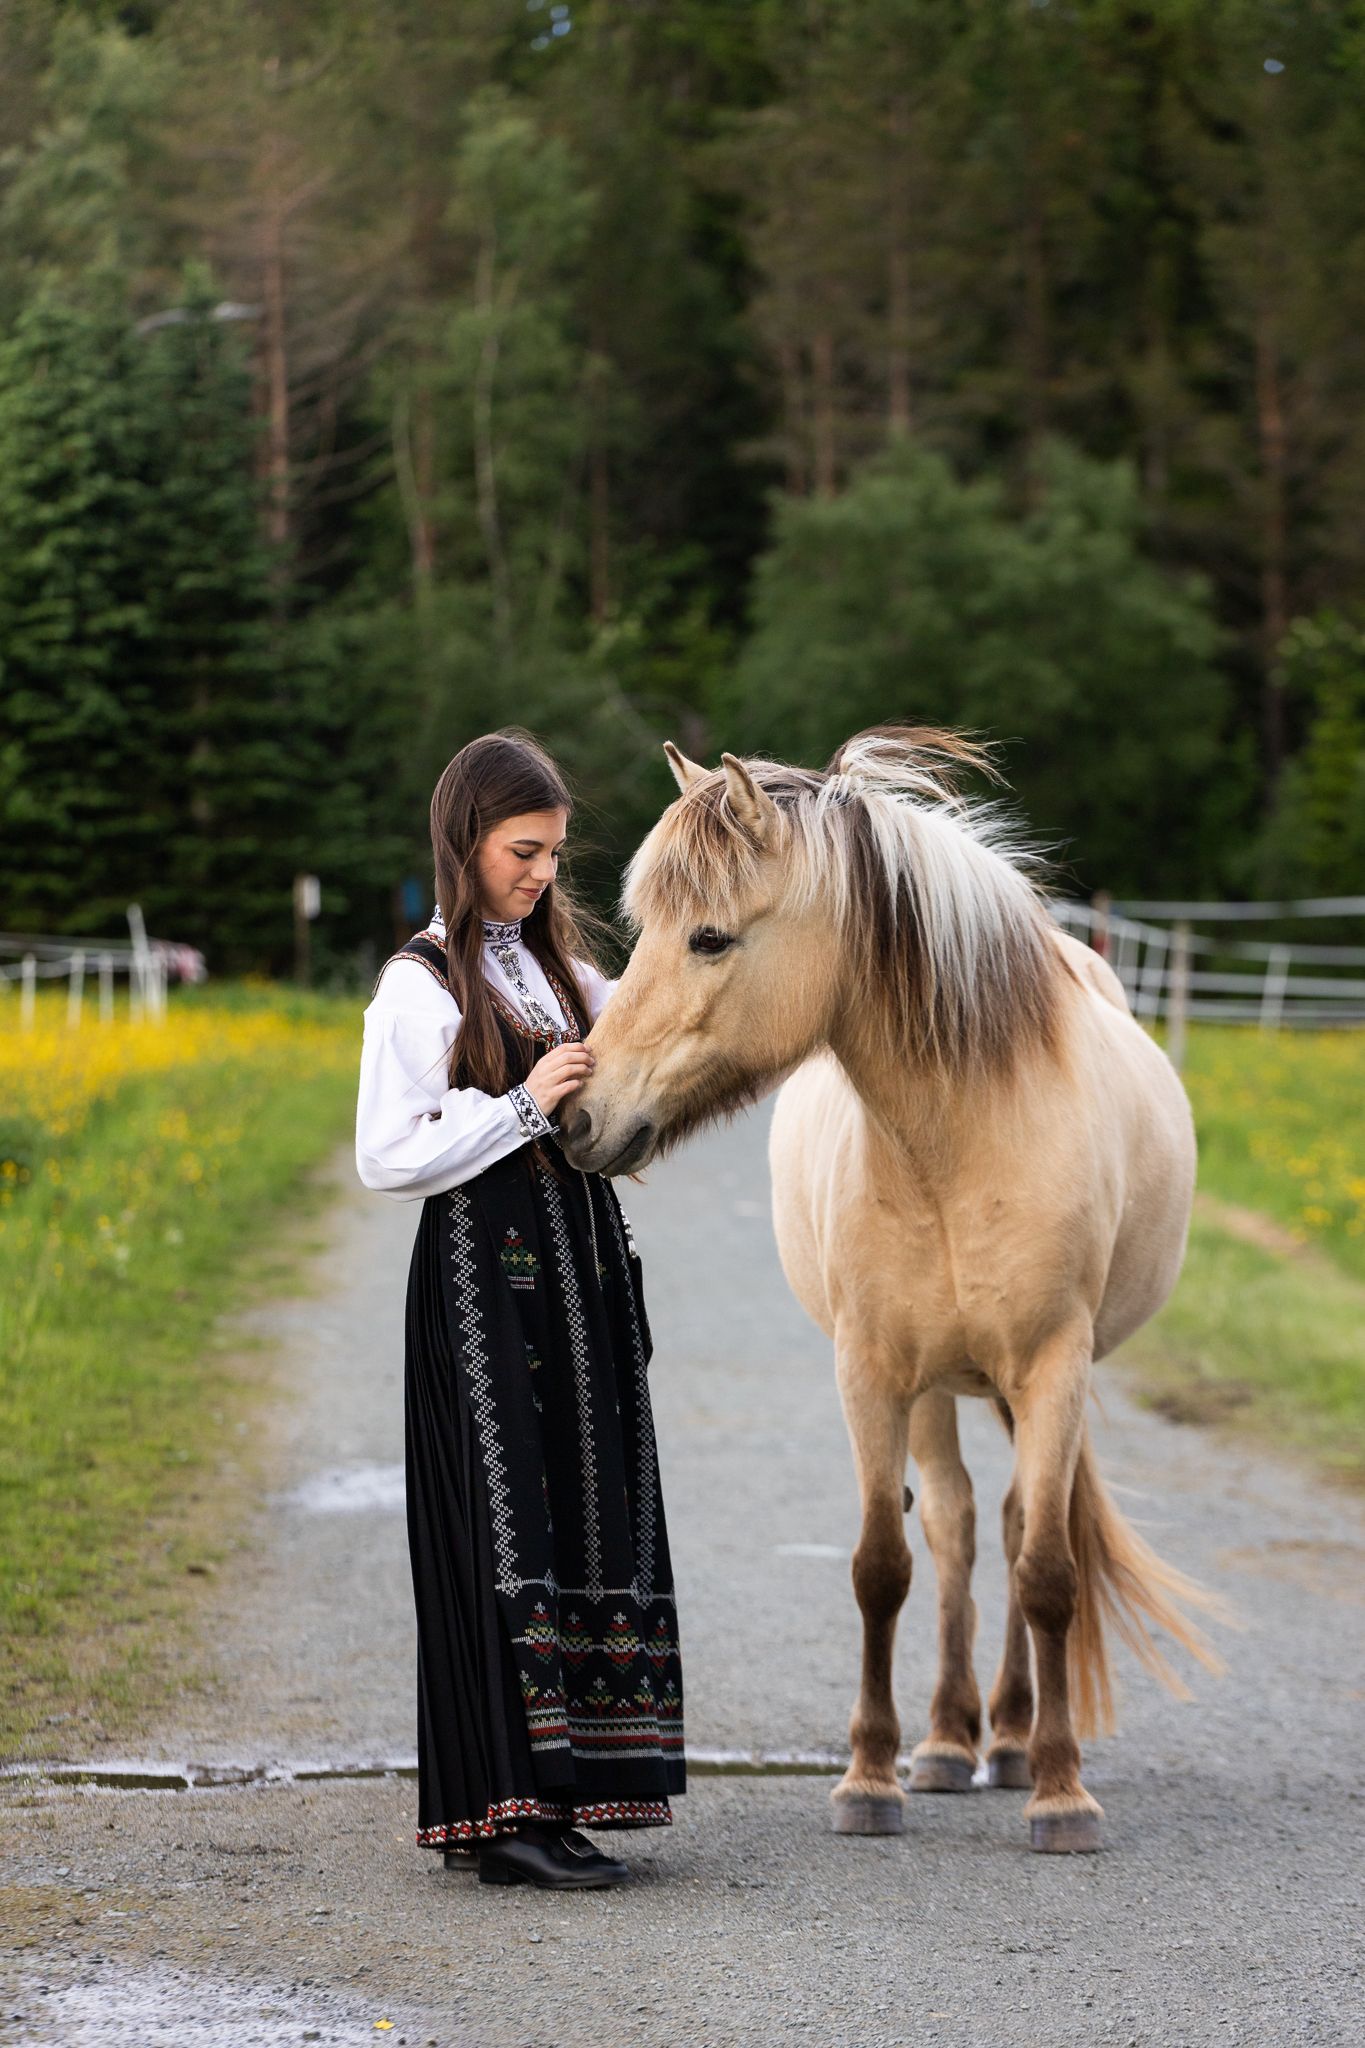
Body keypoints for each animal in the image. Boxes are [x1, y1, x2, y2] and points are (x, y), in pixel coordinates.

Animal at [559, 726, 1222, 1854]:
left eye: (709, 938)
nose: (577, 1115)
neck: (956, 1139)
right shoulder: (870, 1371)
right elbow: (882, 1564)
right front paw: (870, 1777)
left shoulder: (1053, 1366)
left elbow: (1049, 1573)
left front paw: (1061, 1790)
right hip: (934, 1389)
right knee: (953, 1525)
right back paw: (951, 1741)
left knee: (1013, 1526)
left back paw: (1010, 1738)